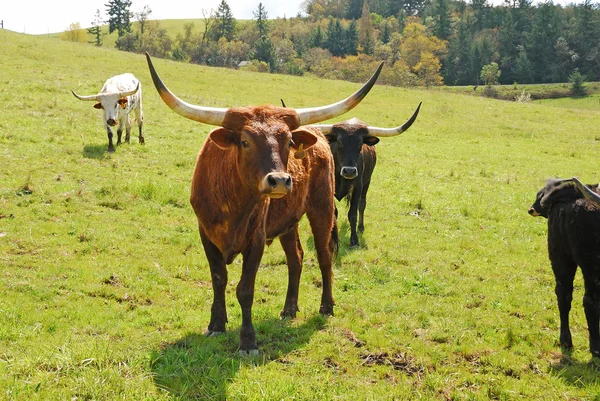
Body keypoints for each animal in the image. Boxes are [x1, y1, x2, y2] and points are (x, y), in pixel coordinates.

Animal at [143, 53, 382, 354]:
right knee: (296, 258)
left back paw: (326, 306)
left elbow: (245, 289)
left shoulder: (255, 238)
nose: (280, 181)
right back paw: (289, 309)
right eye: (245, 141)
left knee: (325, 255)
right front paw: (216, 324)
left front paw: (248, 341)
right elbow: (218, 278)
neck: (231, 202)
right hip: (288, 221)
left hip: (322, 209)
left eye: (288, 141)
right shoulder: (205, 234)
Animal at [528, 178, 600, 356]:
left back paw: (566, 340)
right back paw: (595, 347)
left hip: (561, 256)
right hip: (587, 267)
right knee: (589, 300)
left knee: (564, 294)